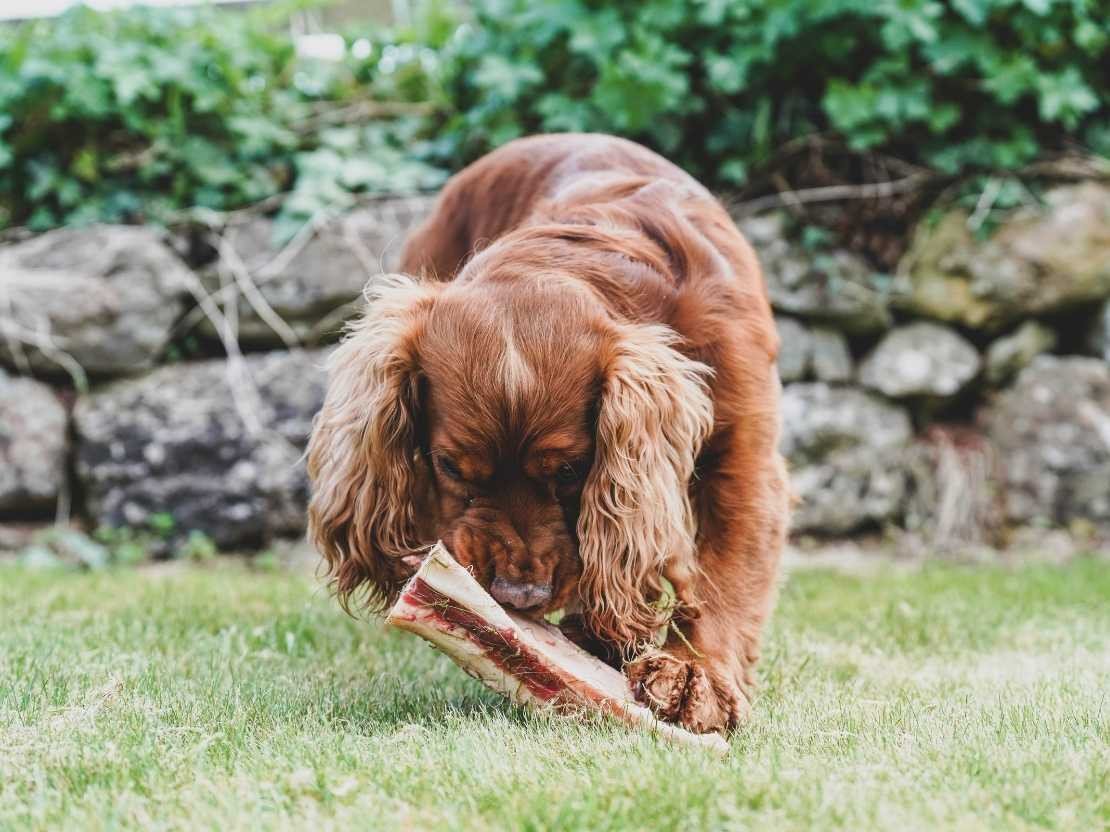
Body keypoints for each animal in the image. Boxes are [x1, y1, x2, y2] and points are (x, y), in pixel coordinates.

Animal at [304, 133, 790, 732]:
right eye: (449, 466)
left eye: (571, 470)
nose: (518, 595)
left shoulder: (744, 458)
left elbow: (724, 574)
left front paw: (694, 675)